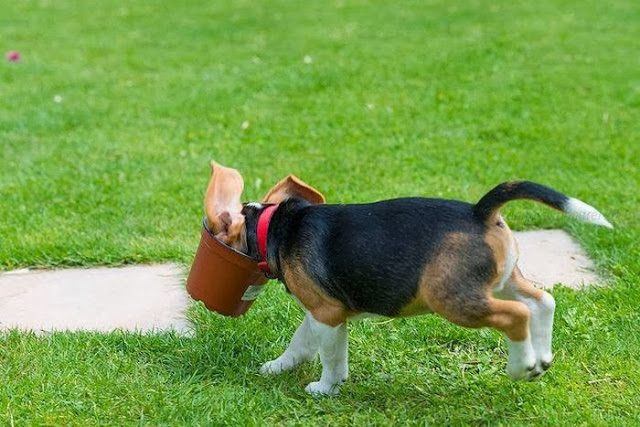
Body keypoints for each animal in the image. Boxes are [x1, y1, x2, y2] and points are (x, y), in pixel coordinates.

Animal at [204, 161, 608, 398]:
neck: (276, 227)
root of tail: (480, 212)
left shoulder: (328, 315)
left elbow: (332, 358)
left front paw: (325, 388)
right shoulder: (319, 311)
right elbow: (299, 343)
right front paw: (277, 367)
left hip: (452, 299)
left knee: (516, 315)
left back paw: (521, 367)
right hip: (503, 280)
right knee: (542, 301)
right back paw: (541, 359)